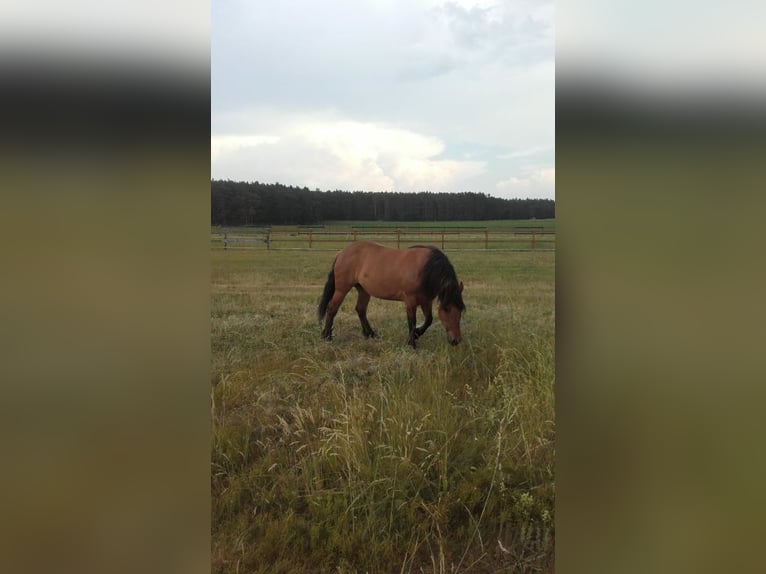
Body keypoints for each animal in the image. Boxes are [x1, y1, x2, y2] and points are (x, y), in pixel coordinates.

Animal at [318, 241, 468, 348]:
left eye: (460, 309)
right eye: (447, 309)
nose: (456, 340)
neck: (425, 270)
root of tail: (341, 253)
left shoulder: (426, 301)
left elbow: (428, 320)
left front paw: (417, 334)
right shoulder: (410, 300)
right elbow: (412, 321)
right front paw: (411, 343)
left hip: (364, 290)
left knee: (360, 310)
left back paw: (370, 334)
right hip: (342, 289)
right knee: (332, 308)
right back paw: (327, 336)